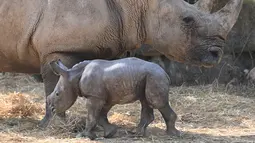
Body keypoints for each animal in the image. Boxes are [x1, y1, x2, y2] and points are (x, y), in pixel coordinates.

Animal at [47, 57, 179, 140]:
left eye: (57, 94)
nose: (52, 109)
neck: (74, 75)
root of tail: (165, 73)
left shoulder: (95, 97)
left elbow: (92, 116)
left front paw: (83, 135)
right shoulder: (103, 97)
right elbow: (100, 116)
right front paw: (110, 133)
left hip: (155, 76)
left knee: (156, 102)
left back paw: (173, 134)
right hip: (148, 77)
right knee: (145, 101)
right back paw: (137, 134)